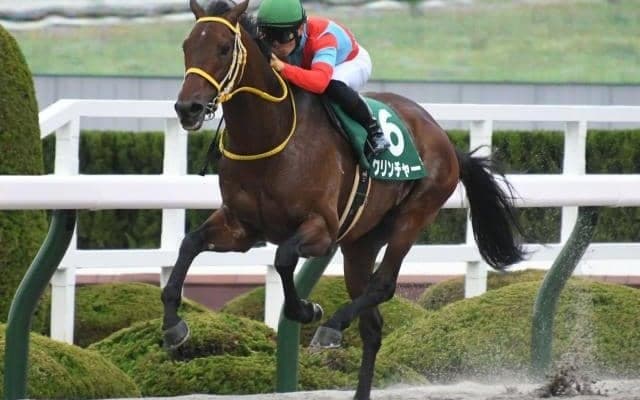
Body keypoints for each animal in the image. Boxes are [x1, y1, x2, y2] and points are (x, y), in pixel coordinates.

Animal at [163, 1, 525, 398]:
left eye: (224, 48)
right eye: (186, 46)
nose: (188, 108)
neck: (269, 136)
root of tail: (444, 139)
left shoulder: (321, 229)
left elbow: (284, 257)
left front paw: (309, 310)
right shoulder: (241, 227)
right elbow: (189, 243)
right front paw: (173, 326)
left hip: (414, 214)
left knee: (383, 285)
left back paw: (332, 325)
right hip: (360, 243)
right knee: (373, 325)